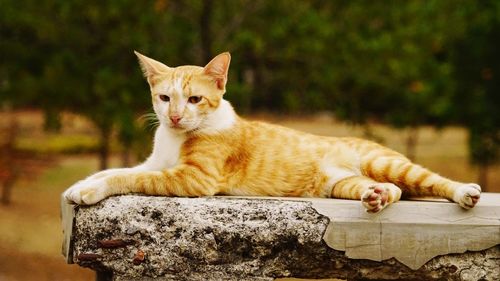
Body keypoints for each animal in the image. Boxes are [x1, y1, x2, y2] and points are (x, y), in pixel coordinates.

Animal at [63, 50, 480, 212]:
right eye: (165, 98)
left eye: (195, 99)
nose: (176, 117)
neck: (174, 138)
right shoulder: (154, 163)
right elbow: (115, 169)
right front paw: (80, 184)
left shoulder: (193, 178)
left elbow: (124, 178)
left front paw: (89, 190)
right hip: (342, 184)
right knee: (392, 189)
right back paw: (376, 197)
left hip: (388, 163)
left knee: (431, 181)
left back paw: (465, 193)